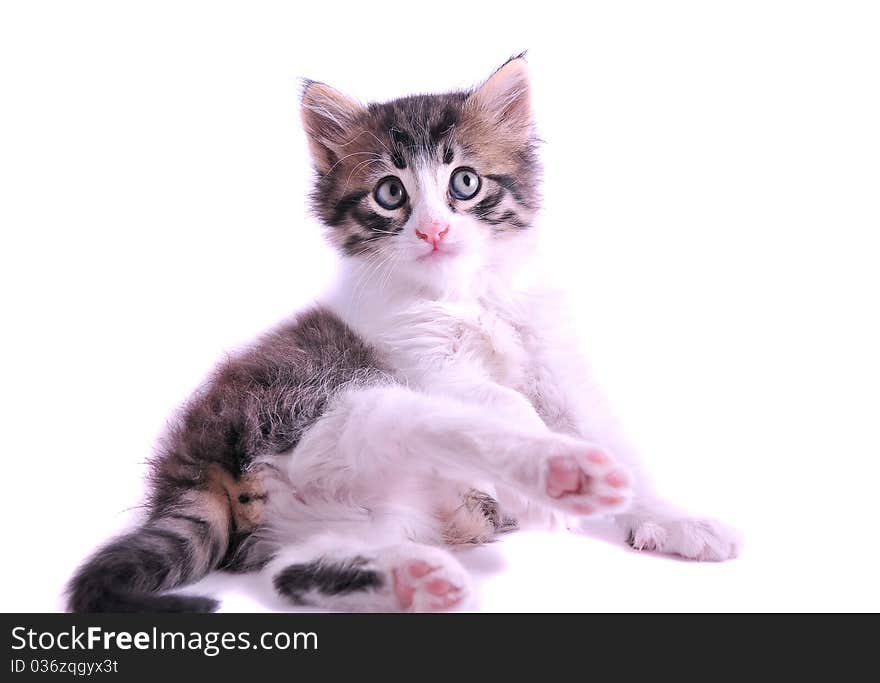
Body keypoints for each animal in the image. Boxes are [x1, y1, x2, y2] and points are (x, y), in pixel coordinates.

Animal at [67, 54, 736, 616]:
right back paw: (555, 475)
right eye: (391, 193)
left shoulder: (559, 367)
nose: (433, 231)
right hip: (347, 406)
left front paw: (673, 519)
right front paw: (557, 486)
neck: (467, 293)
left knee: (290, 570)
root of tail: (193, 459)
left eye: (464, 182)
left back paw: (409, 580)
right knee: (449, 428)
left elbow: (614, 440)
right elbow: (503, 400)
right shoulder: (427, 364)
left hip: (345, 507)